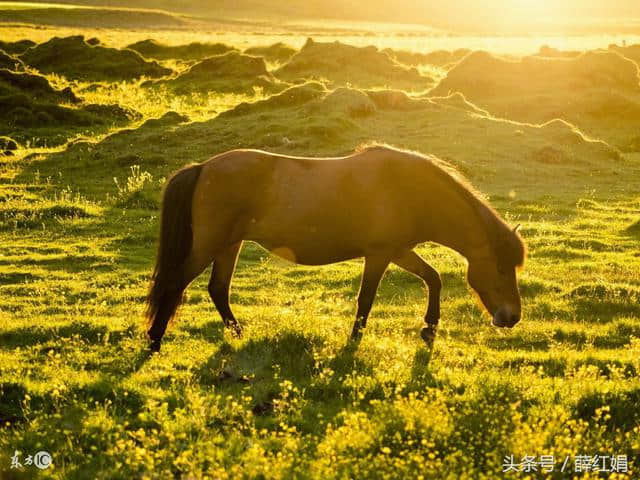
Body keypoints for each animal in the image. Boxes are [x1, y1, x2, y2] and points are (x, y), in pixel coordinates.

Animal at [145, 144, 524, 350]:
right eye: (501, 267)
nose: (512, 318)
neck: (409, 189)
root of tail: (203, 167)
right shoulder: (382, 253)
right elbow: (367, 298)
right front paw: (355, 340)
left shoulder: (398, 250)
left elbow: (433, 278)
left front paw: (429, 330)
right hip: (209, 245)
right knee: (176, 283)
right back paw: (154, 340)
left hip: (229, 244)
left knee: (218, 289)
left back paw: (239, 334)